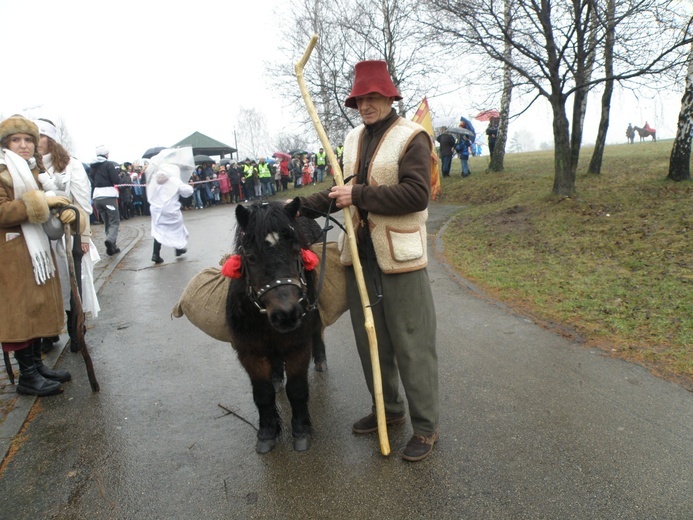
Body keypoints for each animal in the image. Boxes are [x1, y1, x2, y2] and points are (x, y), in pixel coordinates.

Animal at [227, 201, 324, 452]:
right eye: (250, 257)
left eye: (296, 250)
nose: (287, 314)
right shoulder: (249, 353)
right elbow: (263, 394)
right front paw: (267, 432)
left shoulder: (298, 347)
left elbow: (297, 390)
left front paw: (301, 430)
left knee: (318, 333)